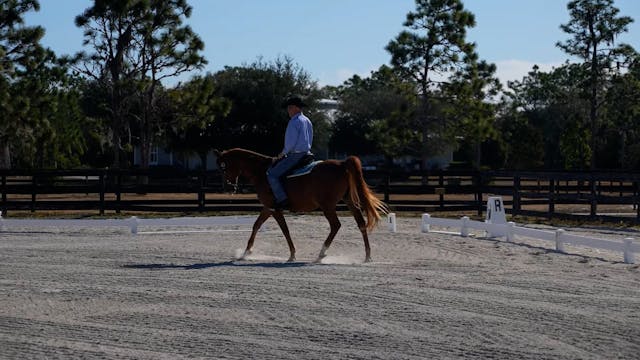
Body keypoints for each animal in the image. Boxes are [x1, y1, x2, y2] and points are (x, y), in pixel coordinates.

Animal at [215, 148, 388, 262]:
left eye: (223, 167)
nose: (228, 188)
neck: (261, 171)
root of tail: (341, 163)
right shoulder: (268, 207)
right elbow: (256, 225)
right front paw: (246, 252)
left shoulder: (274, 208)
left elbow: (285, 230)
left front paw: (292, 254)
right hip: (349, 201)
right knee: (361, 223)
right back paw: (367, 255)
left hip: (327, 206)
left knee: (335, 225)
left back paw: (321, 253)